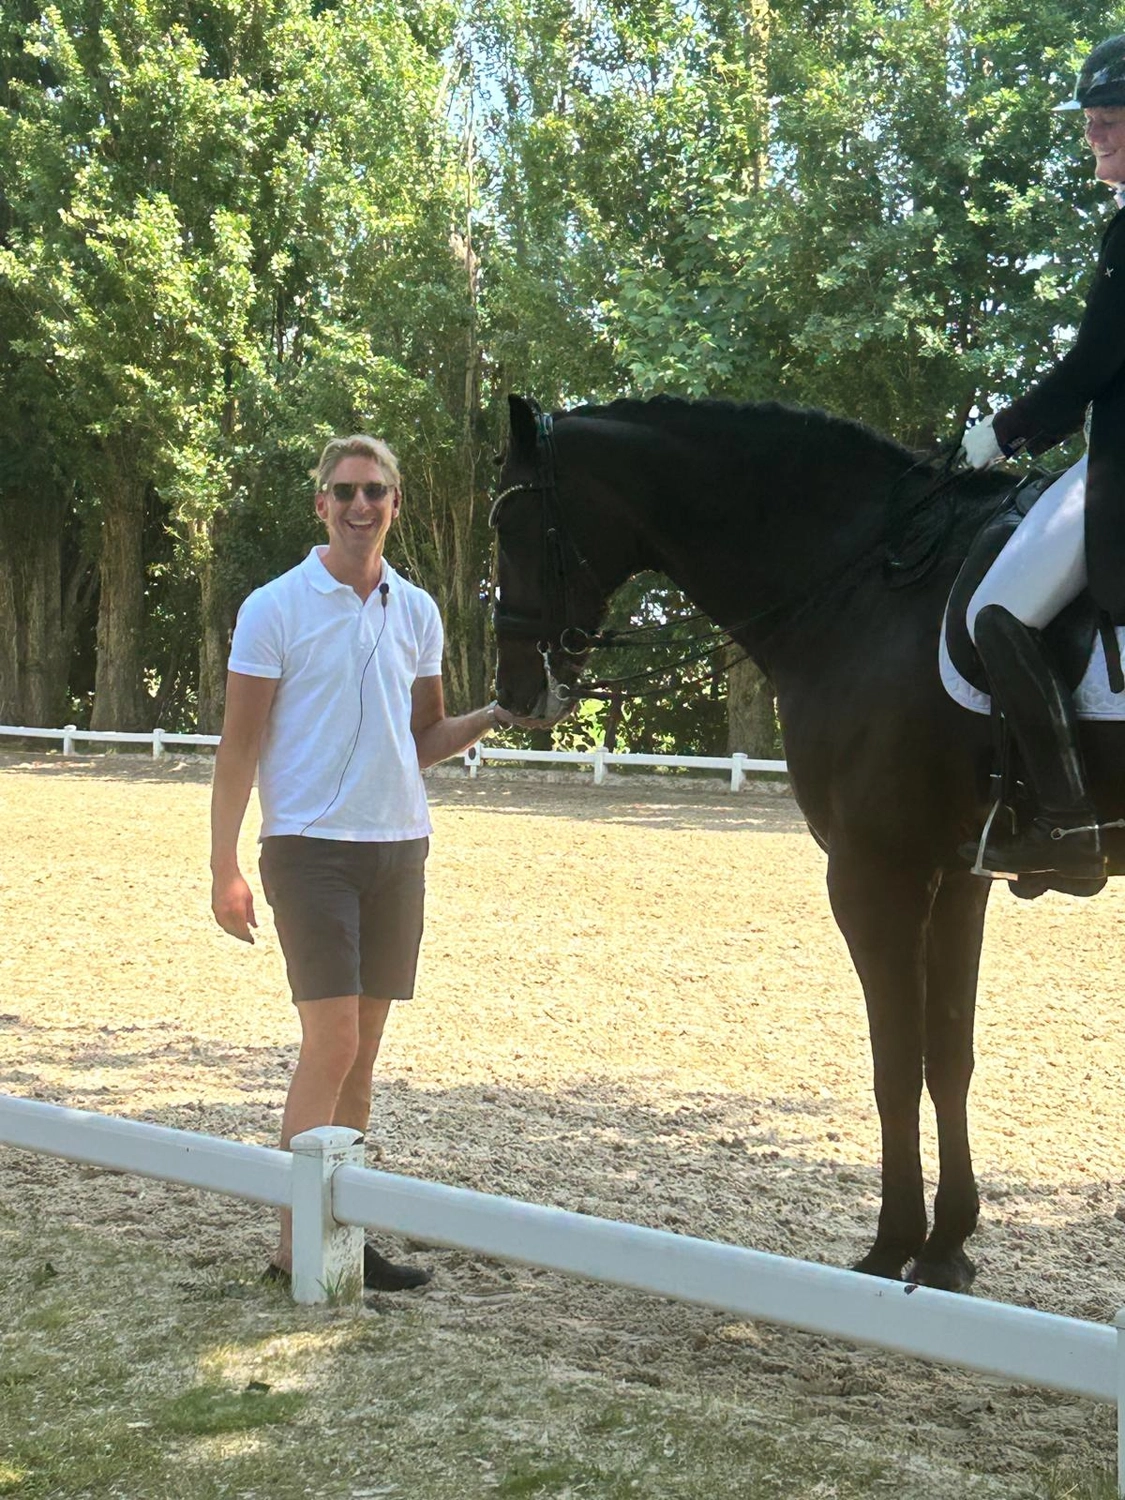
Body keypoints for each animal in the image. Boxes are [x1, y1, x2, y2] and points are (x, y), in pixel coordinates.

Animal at [490, 391, 1125, 1293]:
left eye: (509, 523)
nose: (515, 691)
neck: (861, 587)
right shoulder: (955, 874)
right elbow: (947, 1059)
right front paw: (946, 1247)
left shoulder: (873, 873)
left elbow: (895, 1066)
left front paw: (892, 1247)